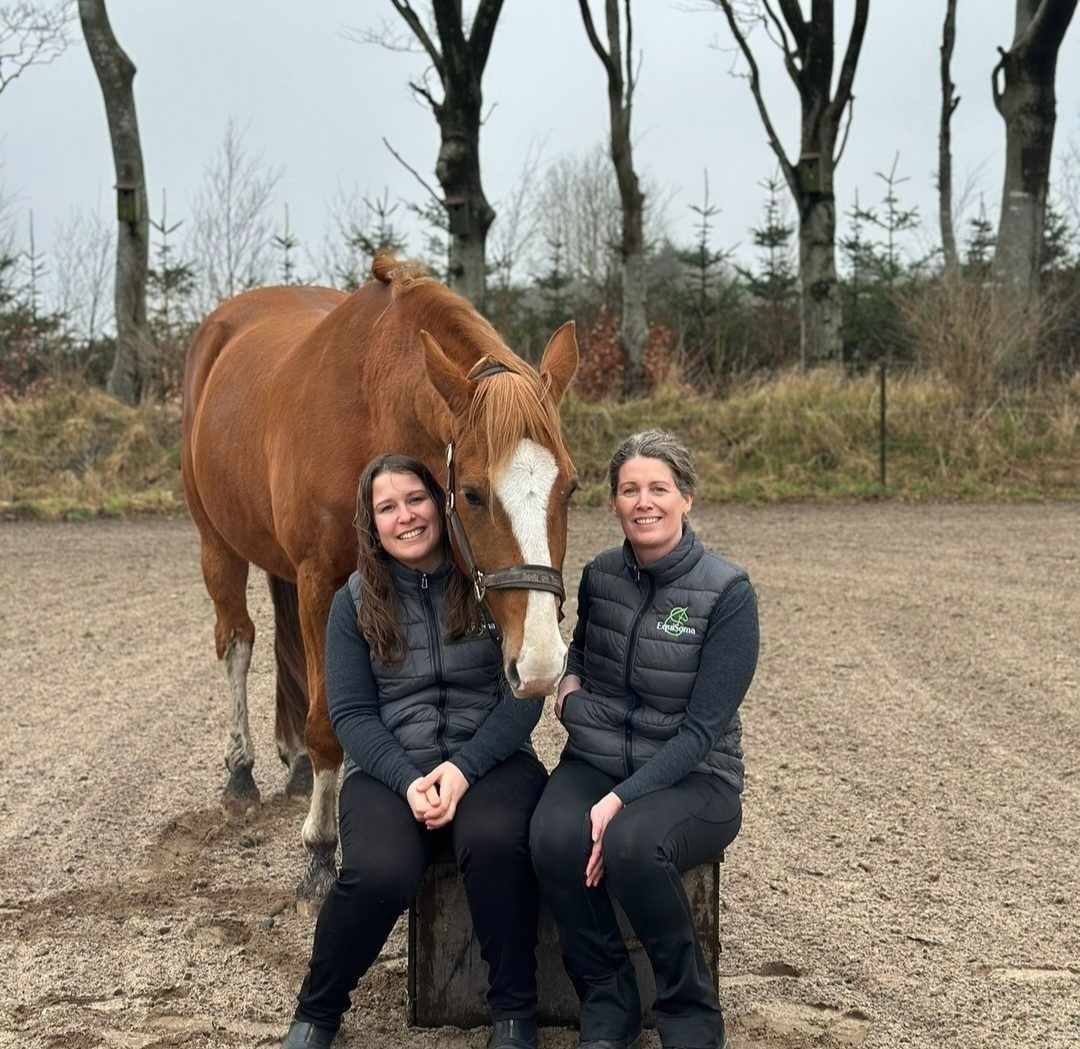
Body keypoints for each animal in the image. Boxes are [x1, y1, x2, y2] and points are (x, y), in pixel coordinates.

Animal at [181, 258, 578, 907]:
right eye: (472, 493)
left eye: (569, 486)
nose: (543, 663)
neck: (372, 405)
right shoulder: (320, 582)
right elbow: (327, 726)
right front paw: (320, 852)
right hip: (217, 544)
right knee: (236, 642)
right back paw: (240, 772)